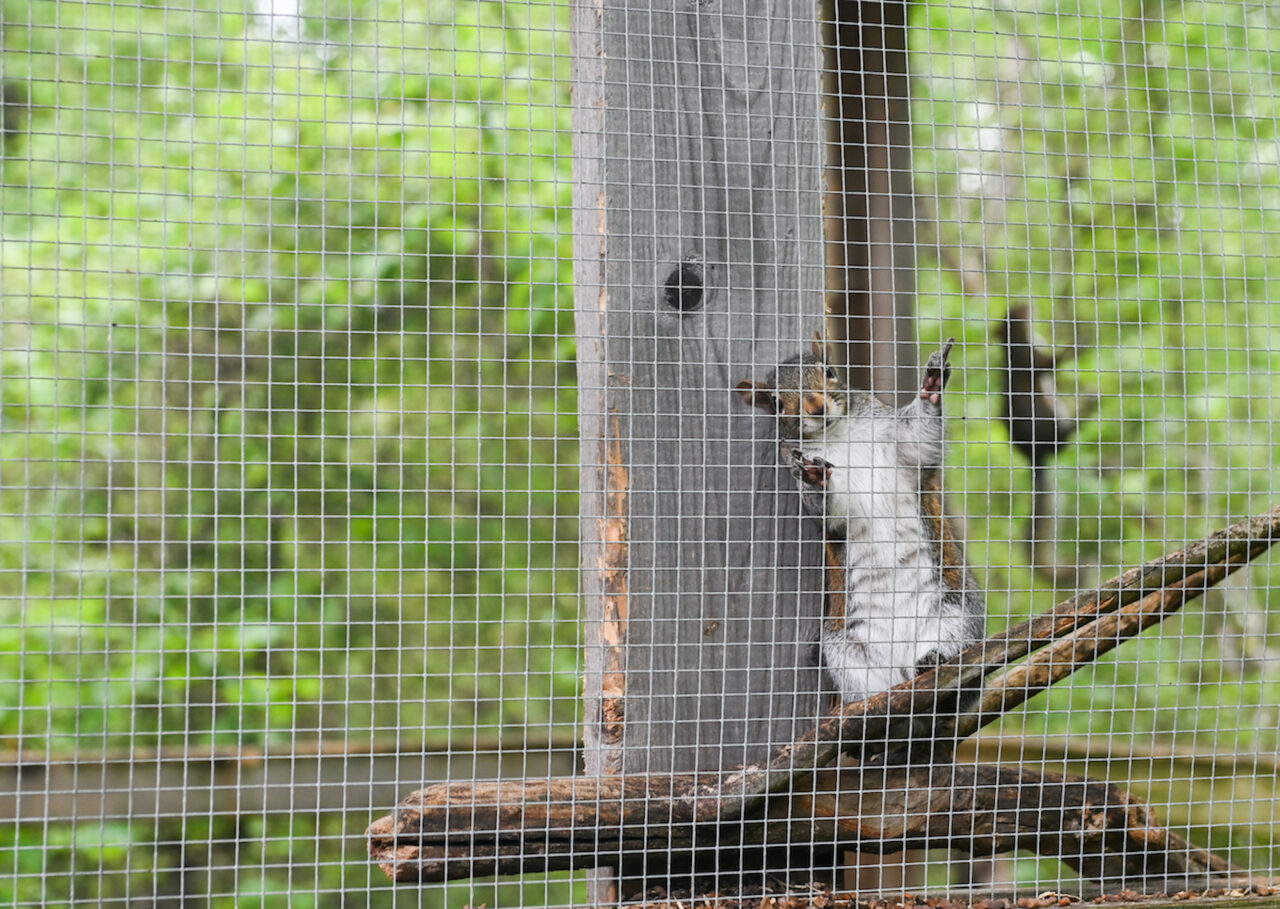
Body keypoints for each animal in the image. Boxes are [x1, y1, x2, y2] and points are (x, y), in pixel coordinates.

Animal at [736, 339, 985, 704]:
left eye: (829, 371)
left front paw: (932, 383)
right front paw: (814, 478)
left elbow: (918, 437)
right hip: (847, 651)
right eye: (776, 403)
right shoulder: (832, 503)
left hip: (955, 610)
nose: (816, 407)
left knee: (953, 640)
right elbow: (829, 509)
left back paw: (935, 658)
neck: (838, 435)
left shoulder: (900, 445)